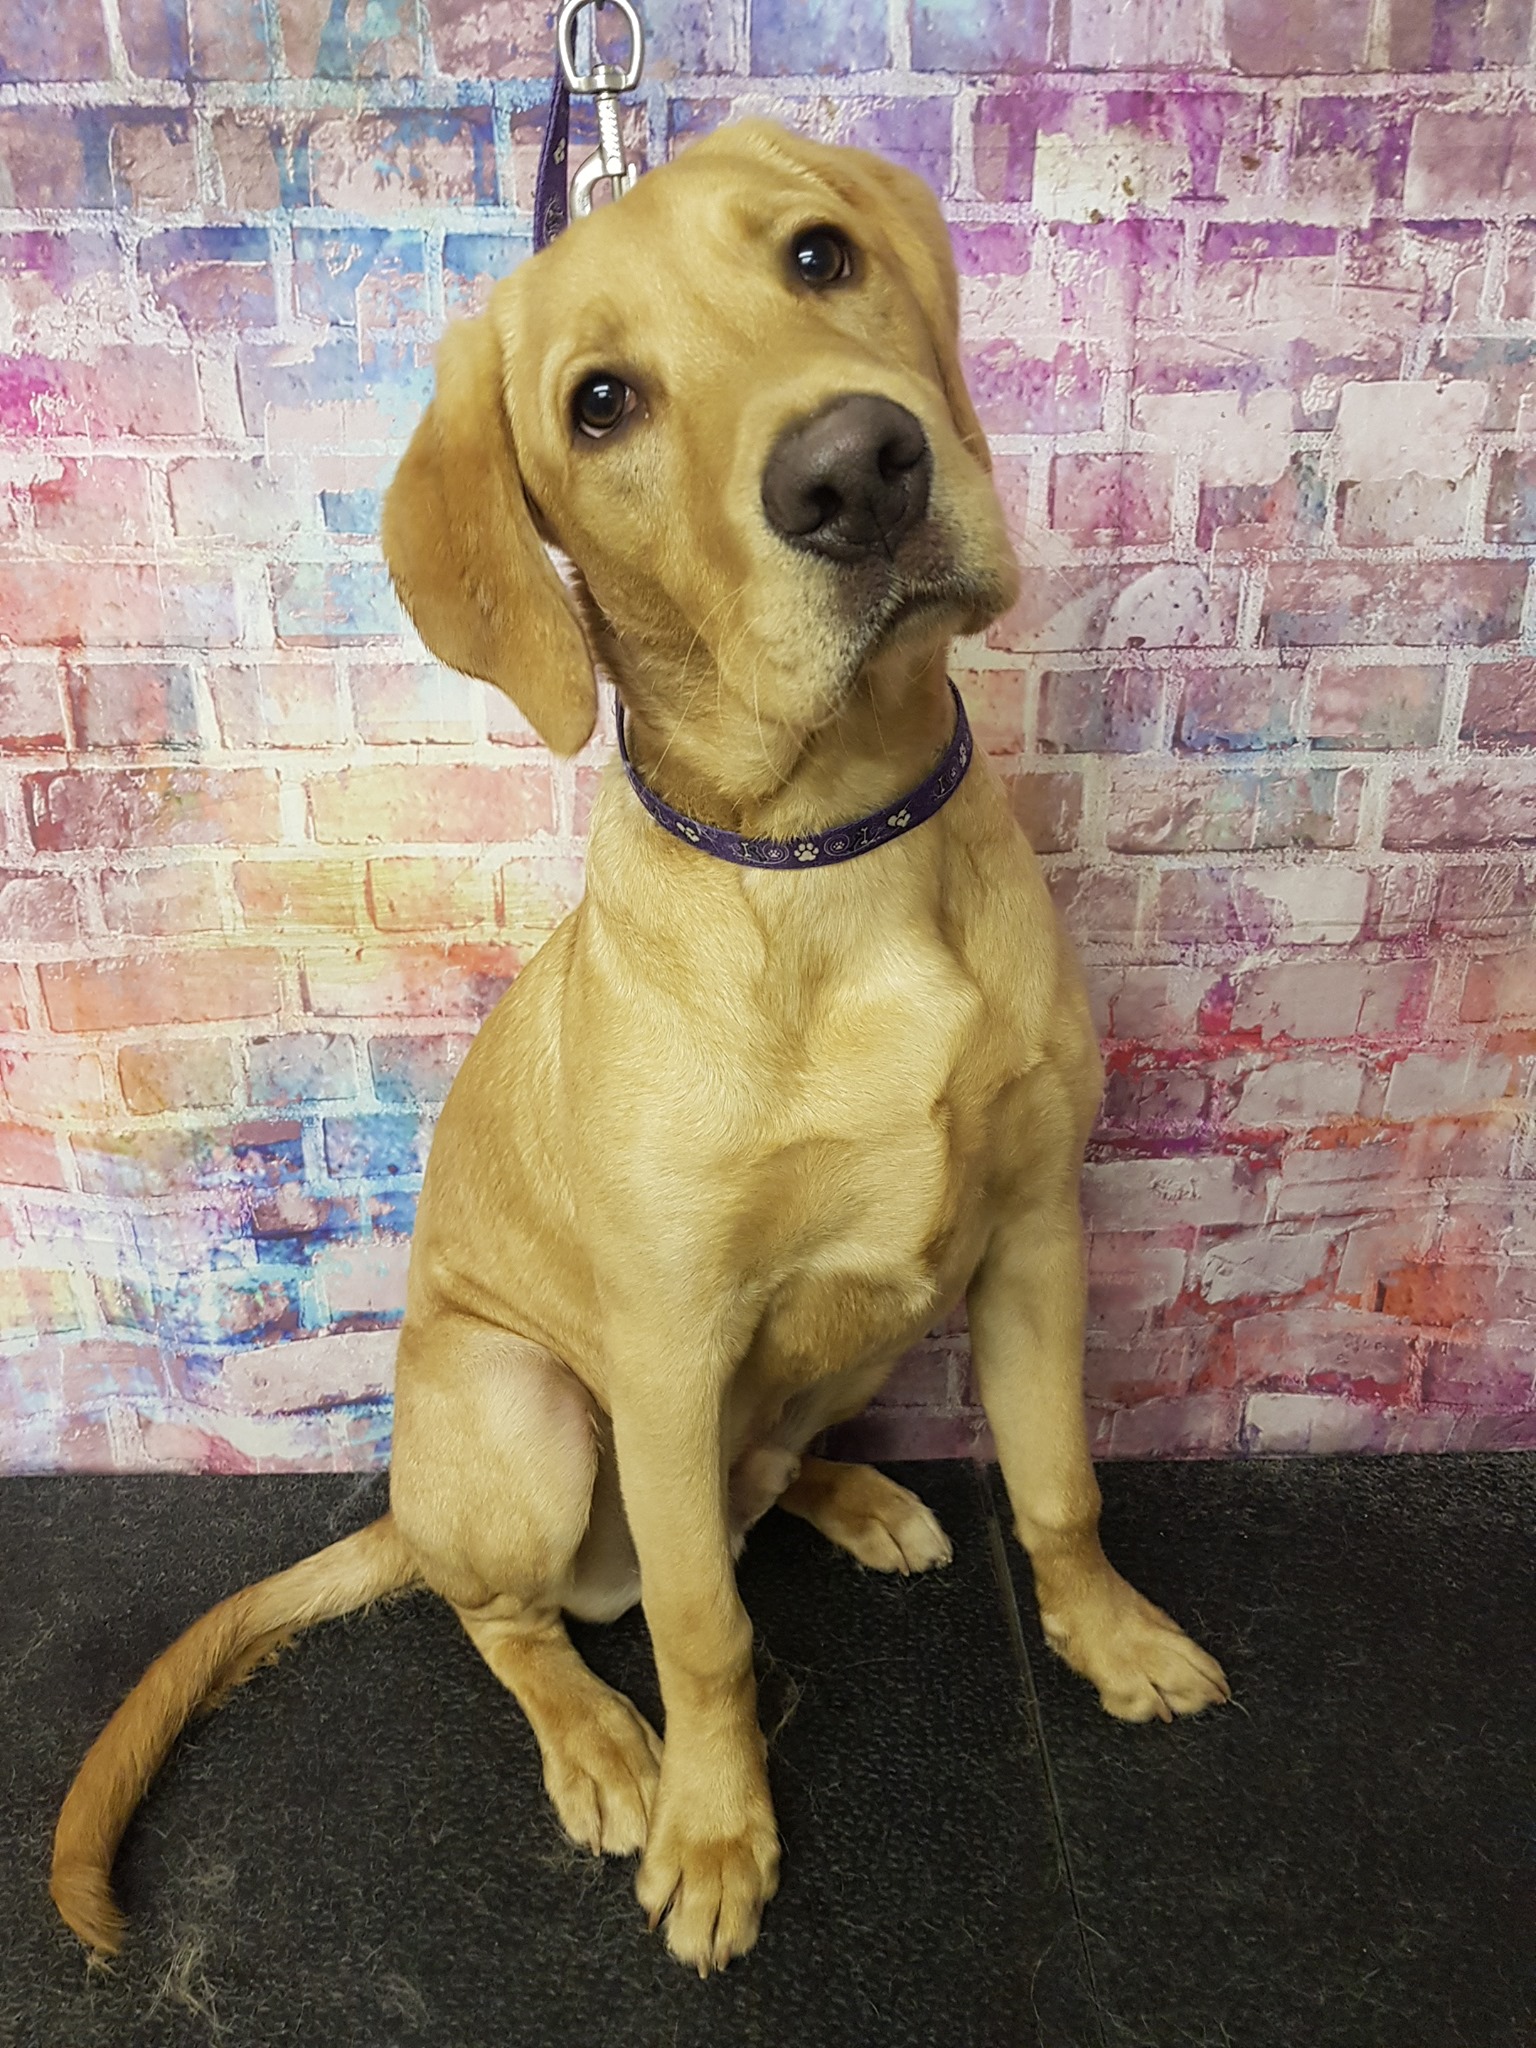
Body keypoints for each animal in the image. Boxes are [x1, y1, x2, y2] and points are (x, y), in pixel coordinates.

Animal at [51, 119, 1228, 1977]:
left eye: (818, 258)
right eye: (600, 404)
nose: (858, 471)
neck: (831, 848)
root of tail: (405, 1502)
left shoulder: (1037, 1236)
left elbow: (1058, 1486)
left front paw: (1108, 1639)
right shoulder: (667, 1357)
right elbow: (702, 1631)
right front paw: (716, 1828)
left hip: (856, 1333)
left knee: (764, 1472)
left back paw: (859, 1497)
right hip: (527, 1412)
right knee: (516, 1614)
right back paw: (606, 1746)